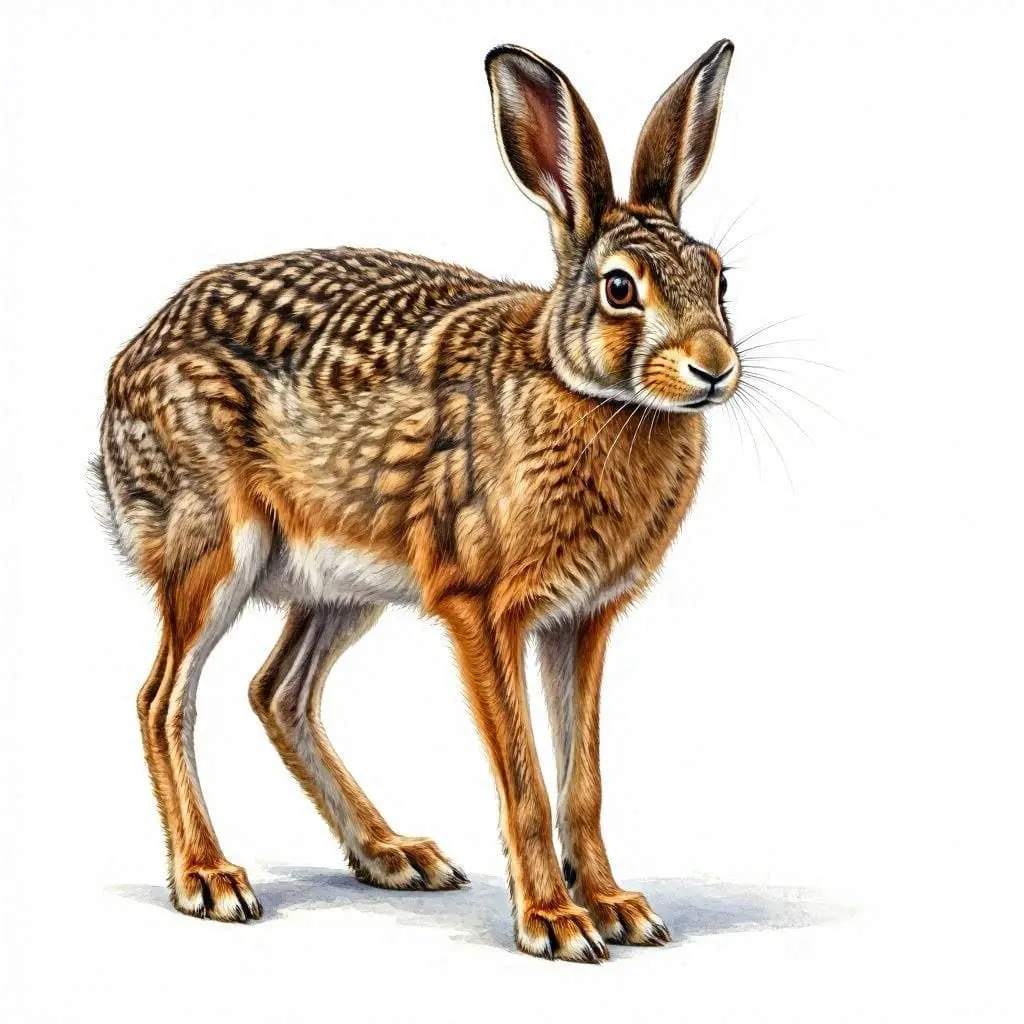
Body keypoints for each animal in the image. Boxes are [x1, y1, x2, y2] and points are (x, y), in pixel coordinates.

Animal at [94, 38, 740, 962]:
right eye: (621, 289)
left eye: (722, 280)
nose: (713, 368)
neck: (579, 385)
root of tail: (122, 373)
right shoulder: (481, 608)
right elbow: (525, 780)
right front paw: (556, 926)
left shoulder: (583, 619)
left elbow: (583, 782)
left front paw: (619, 908)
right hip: (216, 549)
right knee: (164, 700)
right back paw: (209, 879)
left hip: (344, 586)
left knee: (277, 693)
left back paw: (392, 854)